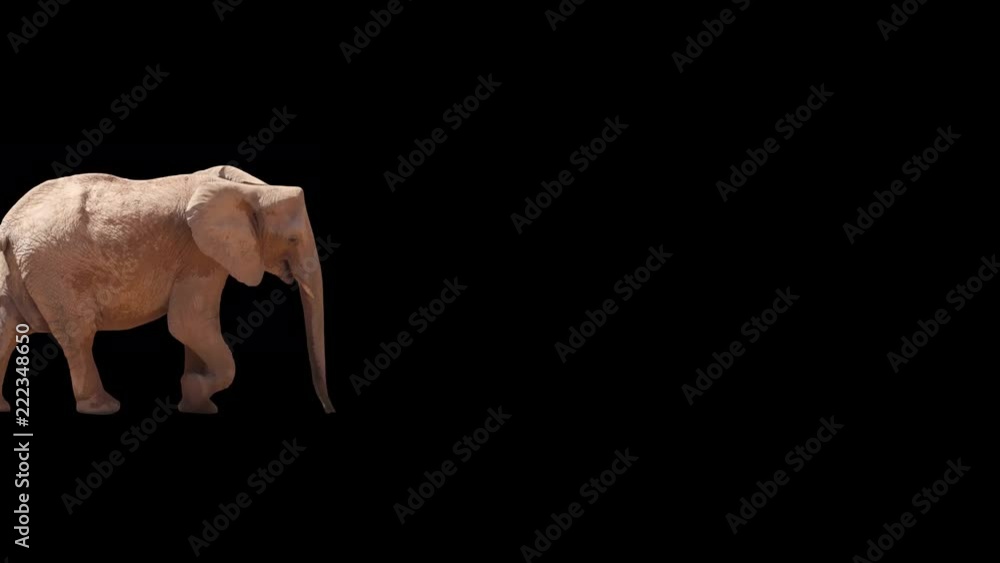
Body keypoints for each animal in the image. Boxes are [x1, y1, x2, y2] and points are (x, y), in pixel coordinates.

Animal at [0, 165, 334, 415]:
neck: (251, 189)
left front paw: (198, 405)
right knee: (78, 334)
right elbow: (189, 324)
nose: (329, 411)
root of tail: (9, 226)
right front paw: (194, 388)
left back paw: (3, 408)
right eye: (292, 239)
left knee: (7, 328)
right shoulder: (199, 254)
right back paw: (103, 407)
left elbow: (194, 329)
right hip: (56, 269)